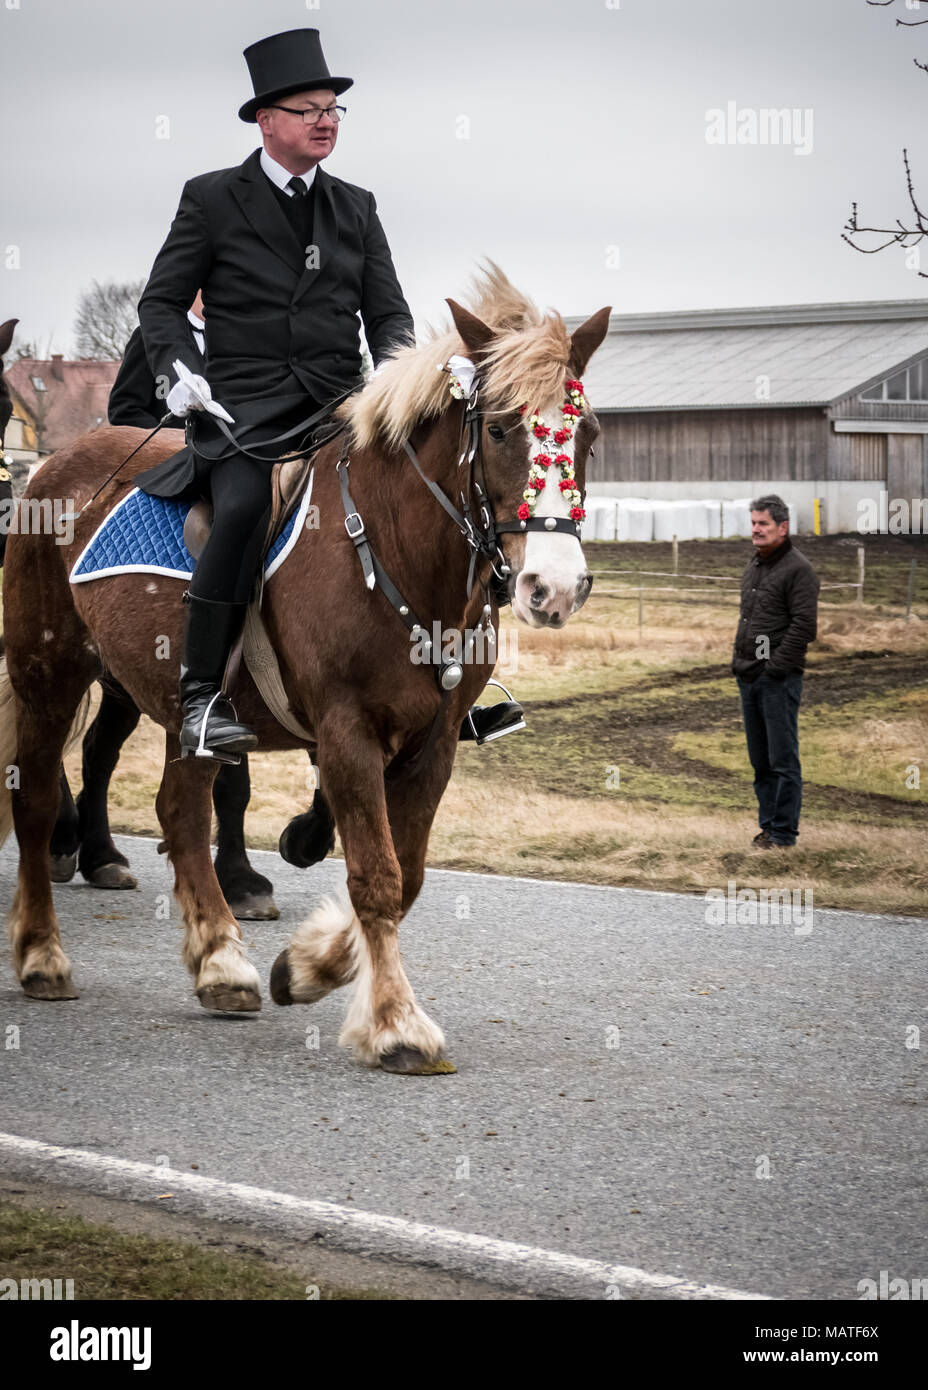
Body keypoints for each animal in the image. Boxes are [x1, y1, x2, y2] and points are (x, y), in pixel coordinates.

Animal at [1, 271, 608, 1073]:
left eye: (587, 433)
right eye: (502, 429)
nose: (554, 588)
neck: (391, 544)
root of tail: (50, 463)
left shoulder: (434, 743)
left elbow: (407, 874)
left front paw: (308, 967)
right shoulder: (348, 731)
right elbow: (377, 876)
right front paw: (396, 1023)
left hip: (187, 708)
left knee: (180, 811)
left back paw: (221, 963)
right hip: (48, 673)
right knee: (38, 802)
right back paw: (43, 956)